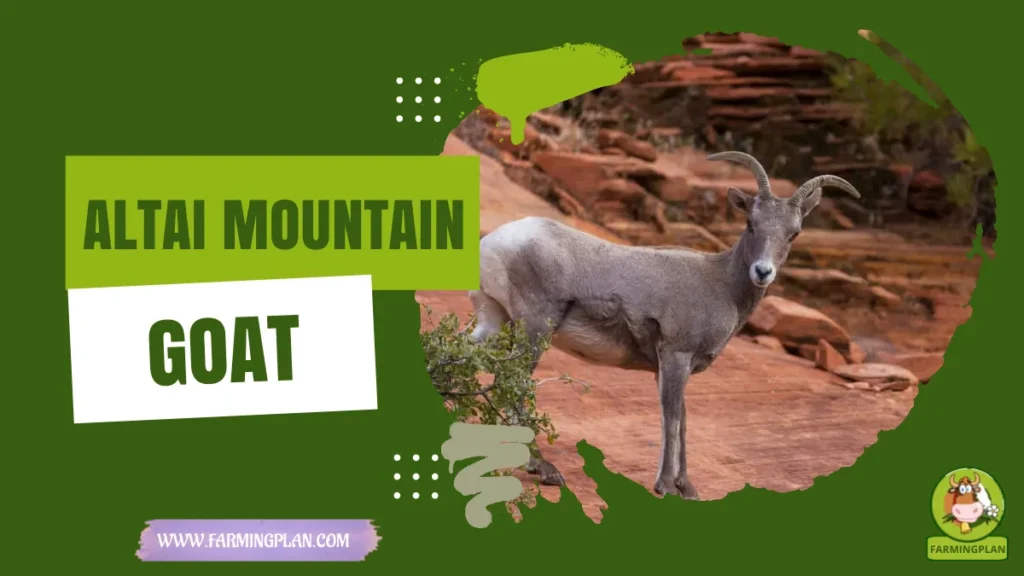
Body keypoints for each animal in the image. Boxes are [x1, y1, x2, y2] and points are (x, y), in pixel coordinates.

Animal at [468, 151, 861, 499]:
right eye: (751, 224)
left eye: (794, 233)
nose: (762, 272)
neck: (720, 283)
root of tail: (493, 243)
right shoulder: (675, 356)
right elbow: (671, 420)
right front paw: (666, 487)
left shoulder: (672, 367)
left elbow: (683, 421)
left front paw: (687, 489)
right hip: (534, 329)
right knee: (513, 384)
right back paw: (544, 470)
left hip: (494, 323)